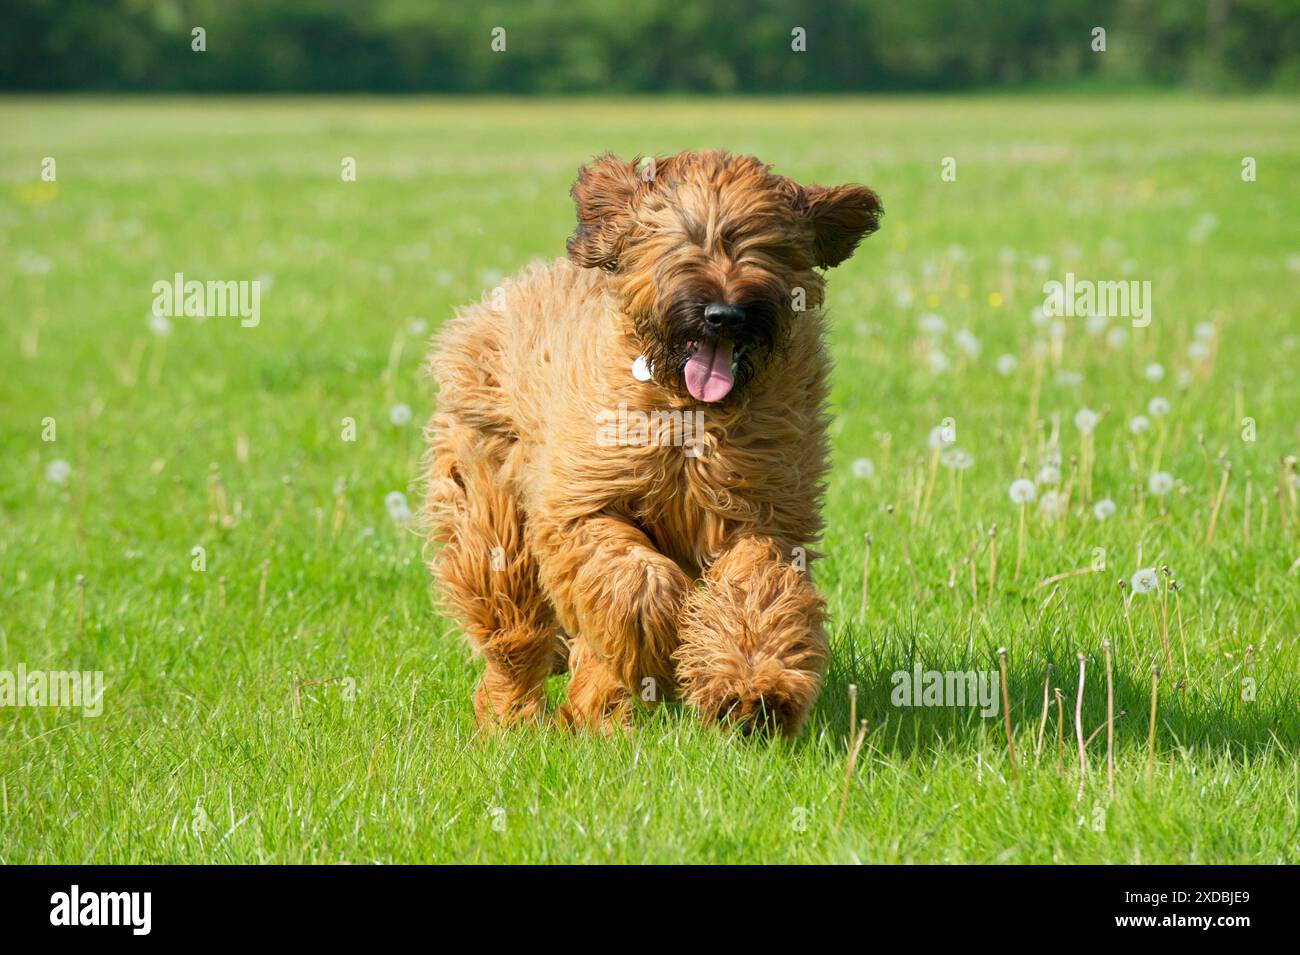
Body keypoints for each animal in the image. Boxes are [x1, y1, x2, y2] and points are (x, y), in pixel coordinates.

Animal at [426, 149, 883, 738]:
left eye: (768, 247)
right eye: (680, 240)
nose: (723, 315)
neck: (690, 413)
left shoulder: (765, 516)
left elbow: (757, 590)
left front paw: (754, 691)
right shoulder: (581, 505)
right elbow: (635, 584)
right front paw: (666, 644)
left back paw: (597, 713)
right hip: (491, 508)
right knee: (513, 625)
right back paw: (514, 718)